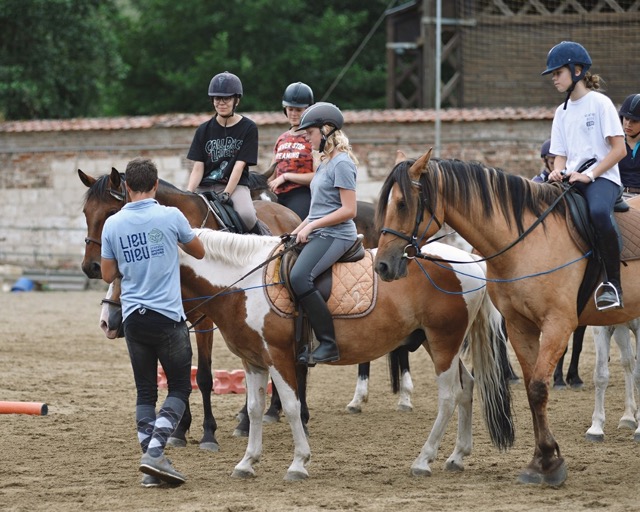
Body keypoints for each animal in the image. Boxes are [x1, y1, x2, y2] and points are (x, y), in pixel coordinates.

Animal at [79, 168, 302, 448]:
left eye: (111, 212)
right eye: (86, 212)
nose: (91, 267)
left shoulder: (204, 321)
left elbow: (204, 377)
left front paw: (208, 433)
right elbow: (179, 373)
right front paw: (179, 430)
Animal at [372, 150, 640, 486]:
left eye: (402, 204)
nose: (382, 266)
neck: (530, 241)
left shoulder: (558, 325)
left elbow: (539, 387)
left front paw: (550, 464)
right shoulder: (519, 326)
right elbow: (531, 389)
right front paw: (542, 460)